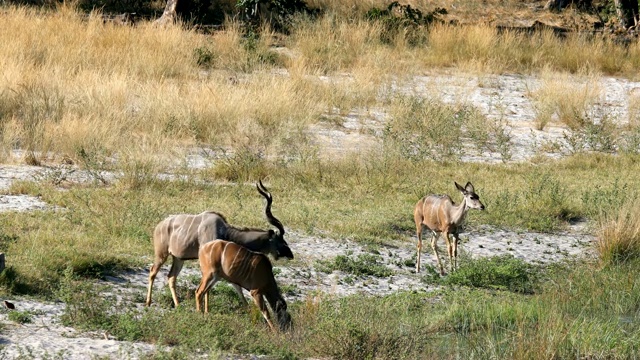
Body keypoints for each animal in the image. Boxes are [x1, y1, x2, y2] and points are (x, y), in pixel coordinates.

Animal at [145, 181, 292, 308]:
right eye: (281, 241)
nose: (291, 255)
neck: (224, 231)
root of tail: (159, 226)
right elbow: (210, 288)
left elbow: (234, 286)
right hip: (162, 254)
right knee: (153, 271)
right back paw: (148, 302)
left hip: (178, 258)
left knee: (171, 277)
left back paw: (178, 305)